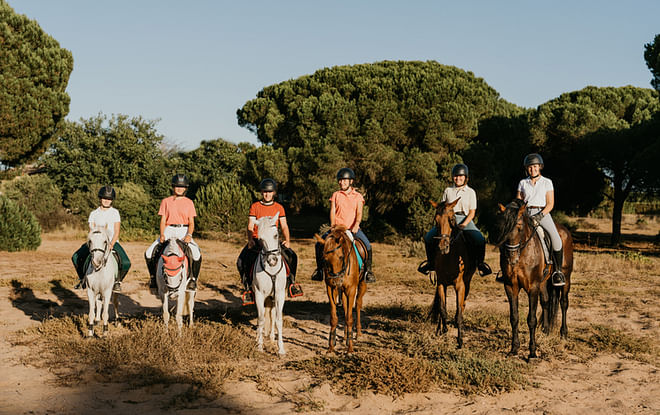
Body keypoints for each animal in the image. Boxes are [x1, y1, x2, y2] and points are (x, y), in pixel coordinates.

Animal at [251, 214, 288, 354]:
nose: (272, 260)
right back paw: (258, 337)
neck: (271, 270)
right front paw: (260, 345)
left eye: (276, 235)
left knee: (272, 315)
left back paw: (272, 337)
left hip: (272, 297)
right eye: (260, 239)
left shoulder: (280, 295)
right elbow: (261, 319)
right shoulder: (259, 294)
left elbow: (278, 320)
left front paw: (281, 349)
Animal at [426, 200, 476, 350]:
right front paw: (444, 330)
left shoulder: (460, 286)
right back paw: (440, 328)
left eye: (452, 219)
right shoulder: (441, 283)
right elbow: (442, 309)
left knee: (463, 304)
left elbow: (459, 311)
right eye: (436, 220)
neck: (449, 257)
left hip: (467, 282)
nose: (442, 246)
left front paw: (460, 340)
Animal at [496, 200, 572, 360]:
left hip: (566, 278)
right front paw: (514, 349)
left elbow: (531, 319)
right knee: (546, 301)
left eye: (519, 228)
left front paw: (532, 352)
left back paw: (563, 333)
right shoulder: (511, 287)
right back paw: (546, 330)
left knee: (563, 303)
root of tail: (564, 230)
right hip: (543, 283)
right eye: (502, 228)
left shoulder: (533, 288)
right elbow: (514, 317)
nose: (511, 259)